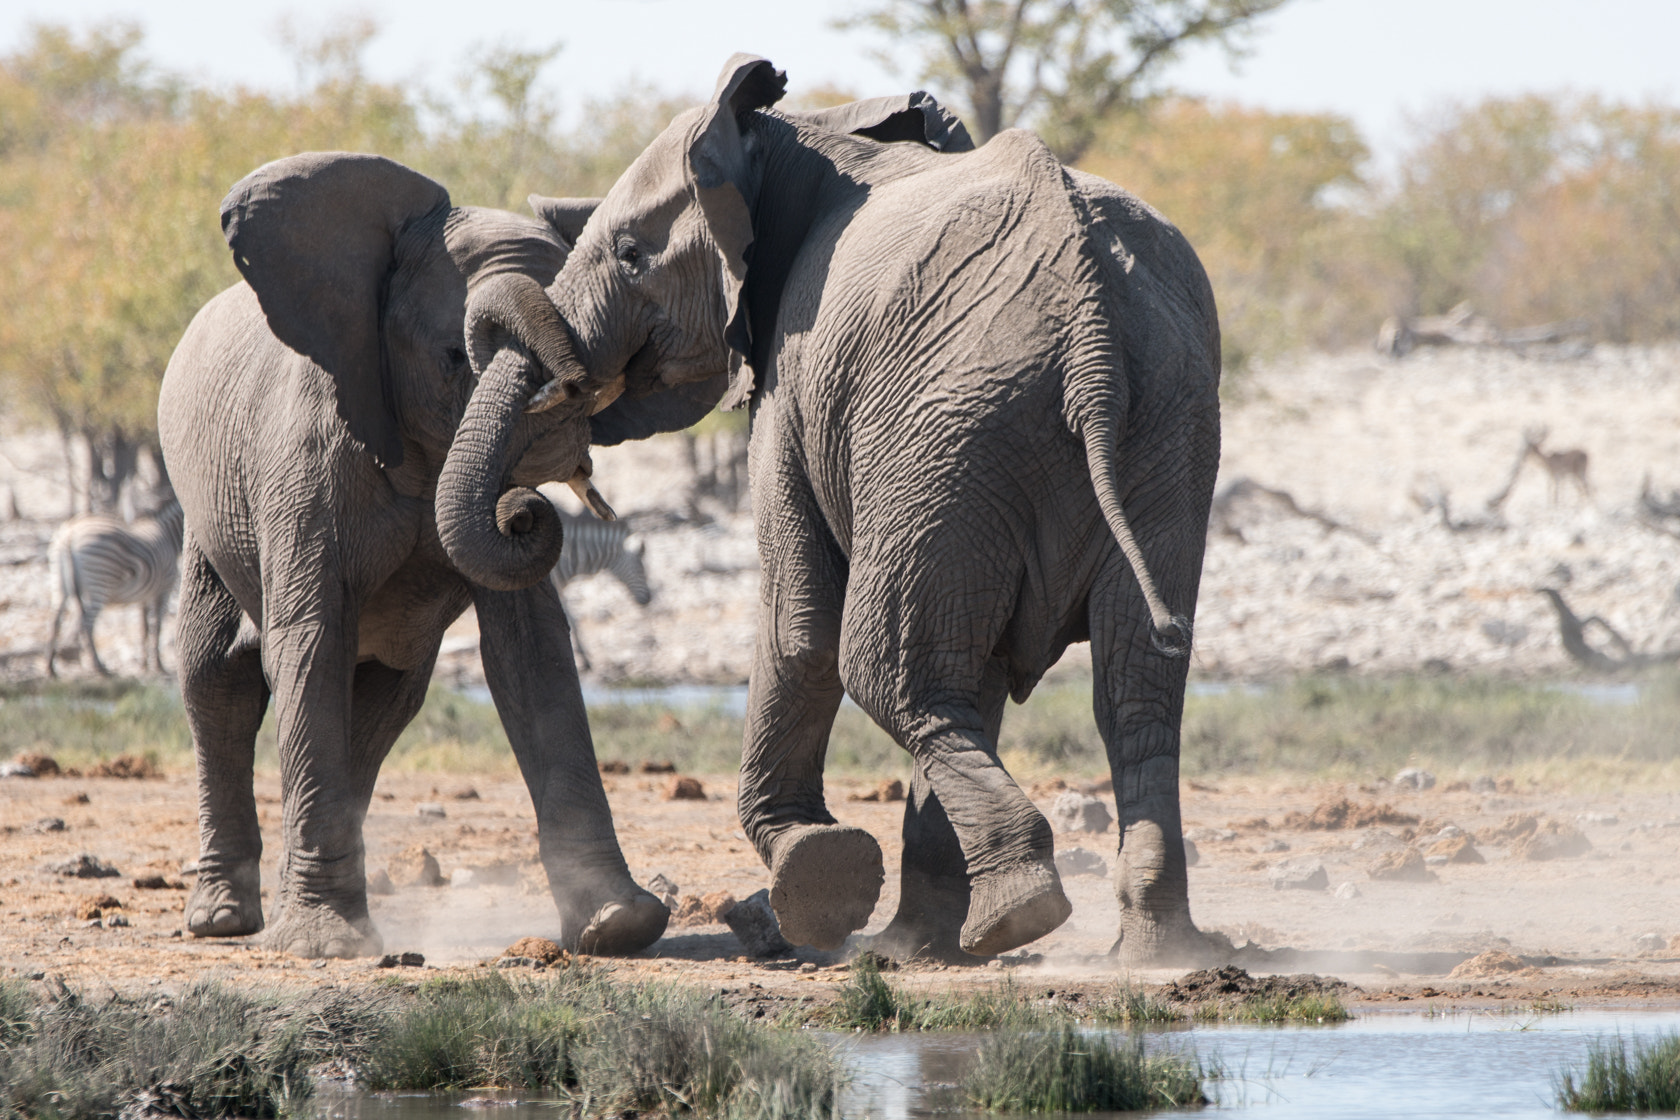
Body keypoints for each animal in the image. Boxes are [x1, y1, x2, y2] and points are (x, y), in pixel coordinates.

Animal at [155, 151, 711, 958]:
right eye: (454, 358)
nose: (528, 505)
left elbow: (531, 653)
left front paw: (617, 925)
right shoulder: (301, 464)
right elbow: (310, 640)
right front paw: (323, 946)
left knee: (385, 699)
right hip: (203, 504)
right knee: (217, 678)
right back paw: (225, 919)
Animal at [532, 56, 1222, 966]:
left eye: (629, 252)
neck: (808, 134)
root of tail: (1092, 329)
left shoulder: (791, 383)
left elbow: (799, 630)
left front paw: (820, 874)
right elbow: (978, 669)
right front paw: (916, 942)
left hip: (951, 429)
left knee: (885, 666)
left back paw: (1017, 916)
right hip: (1144, 422)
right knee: (1130, 689)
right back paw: (1145, 952)